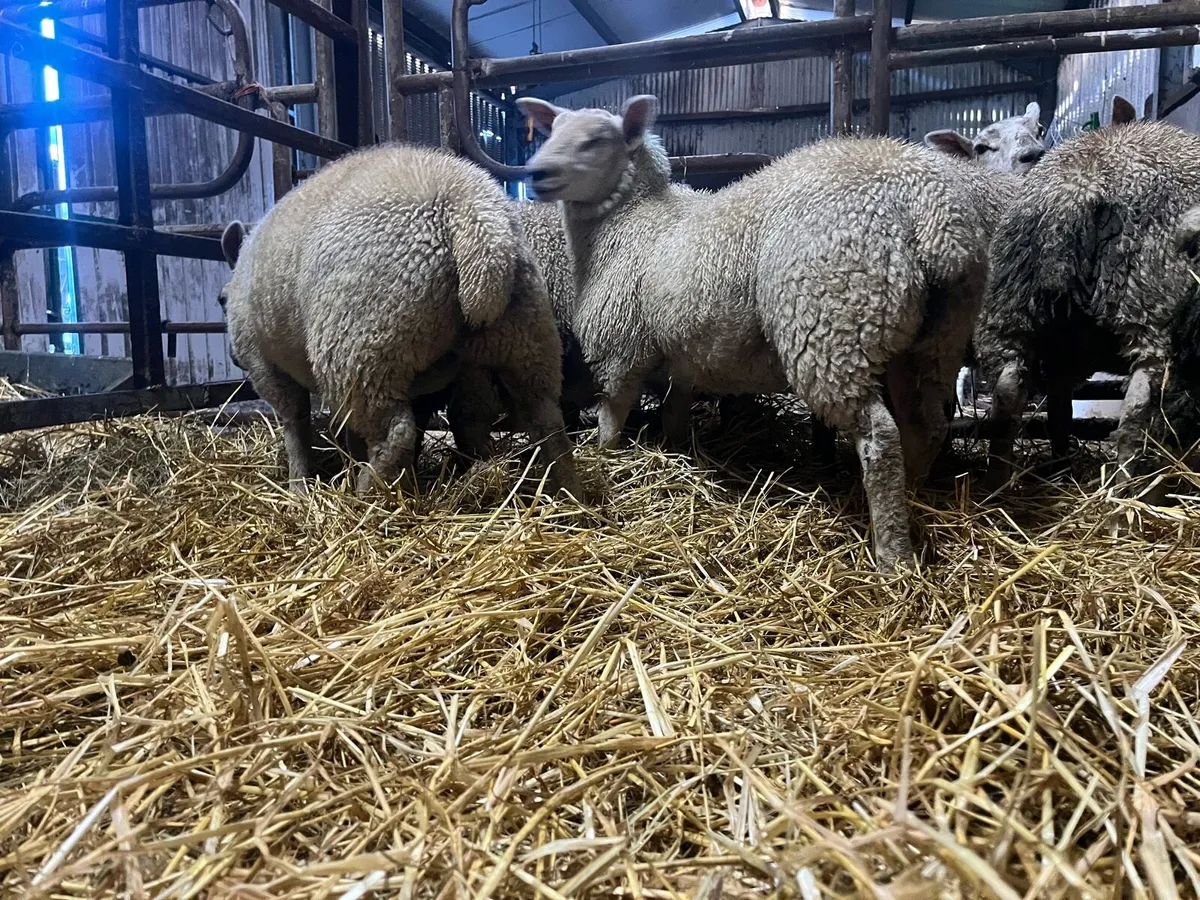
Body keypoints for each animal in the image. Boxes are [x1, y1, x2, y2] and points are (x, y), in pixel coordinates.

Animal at [217, 144, 580, 498]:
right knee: (545, 420)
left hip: (361, 347)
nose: (233, 357)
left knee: (395, 432)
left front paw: (299, 484)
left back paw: (367, 491)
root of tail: (475, 220)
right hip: (524, 337)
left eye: (221, 300)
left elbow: (295, 422)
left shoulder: (264, 364)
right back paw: (565, 493)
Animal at [518, 93, 1015, 572]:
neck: (628, 222)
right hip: (934, 339)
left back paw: (892, 555)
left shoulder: (620, 348)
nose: (536, 173)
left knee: (880, 437)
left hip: (834, 322)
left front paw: (607, 459)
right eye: (551, 131)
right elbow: (675, 413)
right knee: (927, 426)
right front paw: (677, 453)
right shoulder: (682, 358)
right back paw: (913, 498)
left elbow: (613, 417)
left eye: (596, 140)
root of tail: (928, 209)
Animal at [975, 101, 1200, 500]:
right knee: (1139, 409)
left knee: (1016, 395)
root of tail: (1079, 189)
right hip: (1149, 305)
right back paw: (1130, 494)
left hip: (1017, 307)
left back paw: (1003, 484)